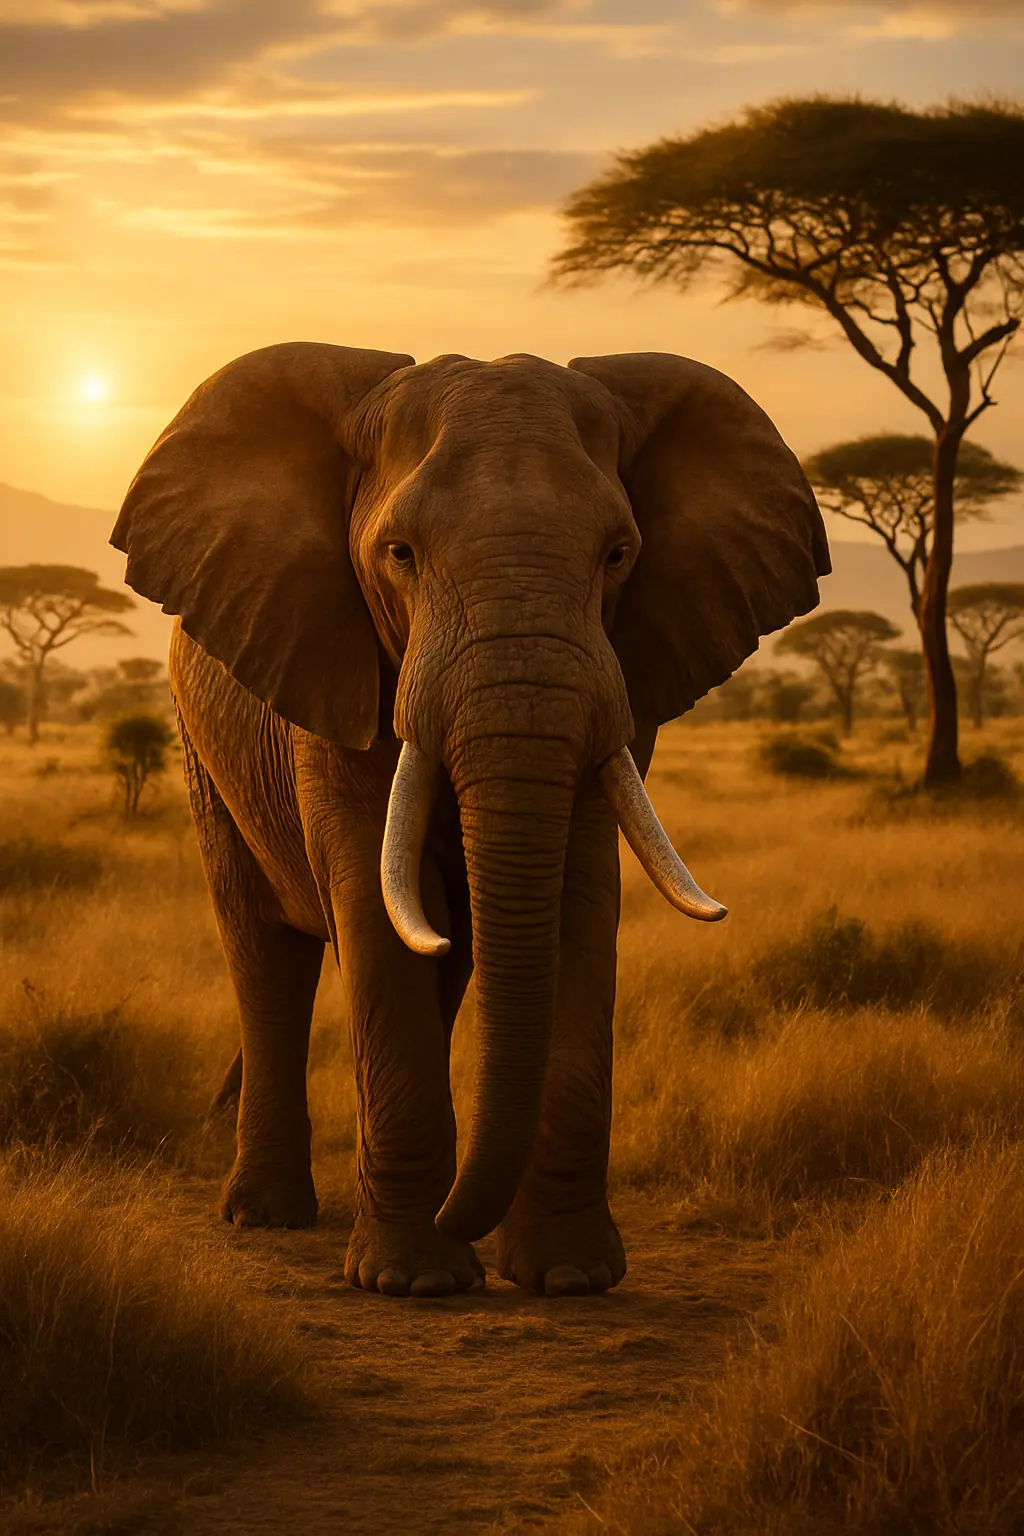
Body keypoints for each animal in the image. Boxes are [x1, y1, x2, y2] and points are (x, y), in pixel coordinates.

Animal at [111, 343, 829, 1299]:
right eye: (400, 554)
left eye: (619, 554)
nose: (466, 1230)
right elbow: (376, 910)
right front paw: (414, 1281)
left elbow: (574, 906)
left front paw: (568, 1277)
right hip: (204, 750)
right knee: (266, 955)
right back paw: (265, 1214)